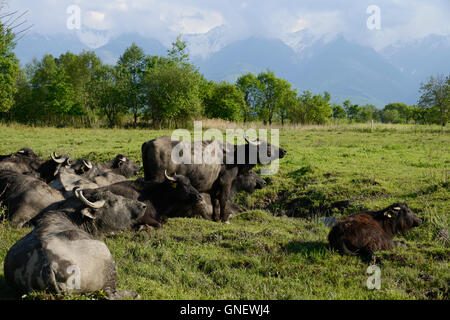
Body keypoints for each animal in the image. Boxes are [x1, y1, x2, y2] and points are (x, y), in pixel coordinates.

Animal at [3, 189, 148, 298]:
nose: (143, 205)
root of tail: (48, 265)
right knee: (111, 294)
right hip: (106, 260)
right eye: (115, 200)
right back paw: (134, 294)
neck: (74, 219)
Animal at [142, 135, 286, 222]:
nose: (283, 151)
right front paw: (224, 219)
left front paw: (216, 219)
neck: (234, 156)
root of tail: (149, 142)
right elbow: (223, 200)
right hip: (158, 178)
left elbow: (215, 202)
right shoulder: (226, 182)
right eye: (267, 145)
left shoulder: (214, 186)